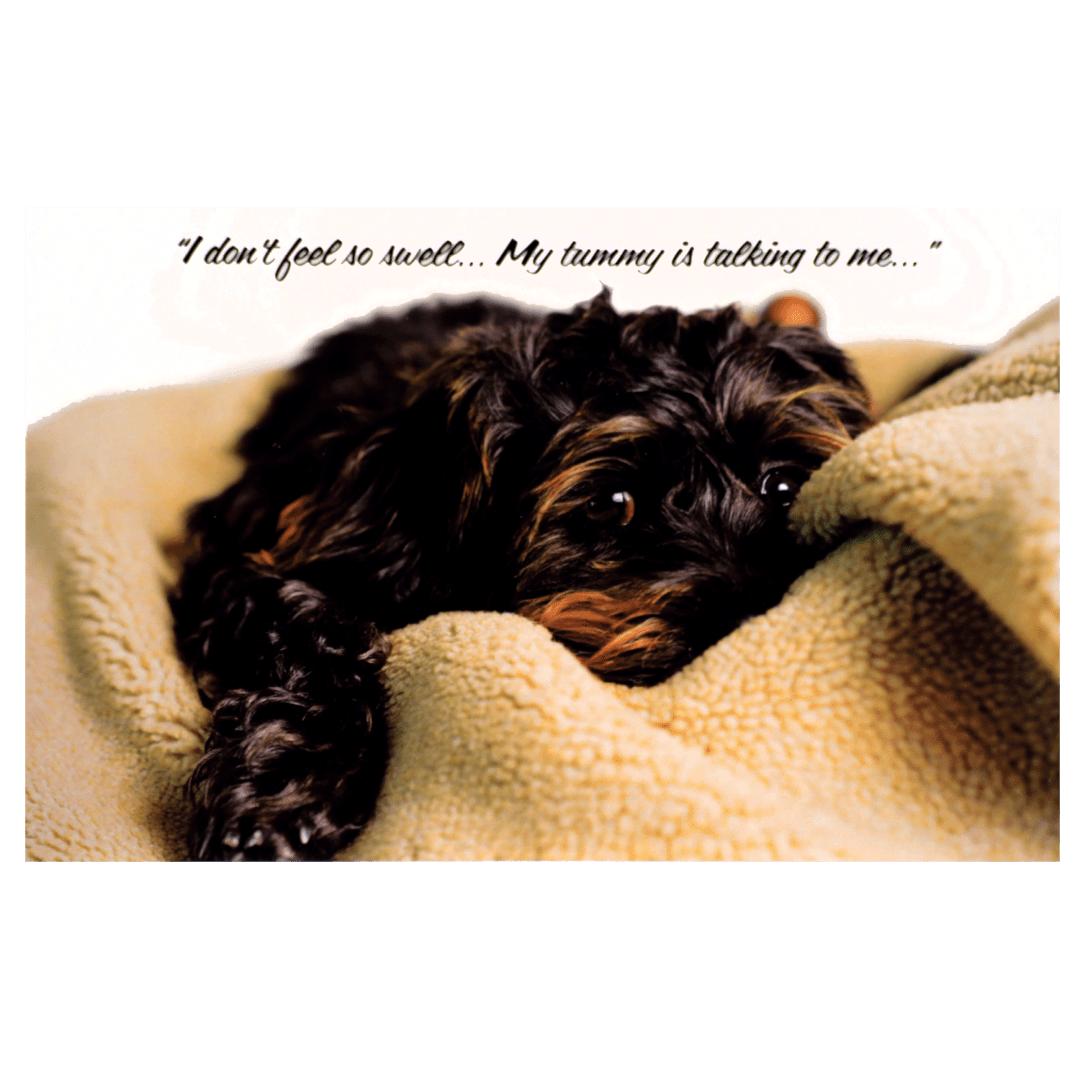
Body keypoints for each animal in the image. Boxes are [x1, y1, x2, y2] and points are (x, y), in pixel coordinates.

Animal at [170, 289, 876, 859]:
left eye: (783, 486)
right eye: (610, 502)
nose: (746, 619)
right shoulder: (251, 566)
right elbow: (315, 642)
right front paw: (283, 798)